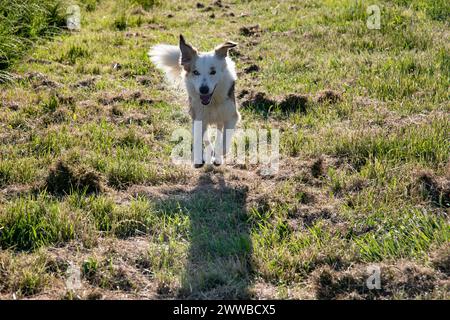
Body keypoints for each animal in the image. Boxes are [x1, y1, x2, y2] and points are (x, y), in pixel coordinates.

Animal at [149, 34, 241, 168]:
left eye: (213, 72)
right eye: (196, 72)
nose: (203, 89)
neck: (212, 102)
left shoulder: (232, 116)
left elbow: (225, 138)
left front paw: (219, 154)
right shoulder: (197, 117)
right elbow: (199, 138)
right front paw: (199, 158)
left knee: (219, 130)